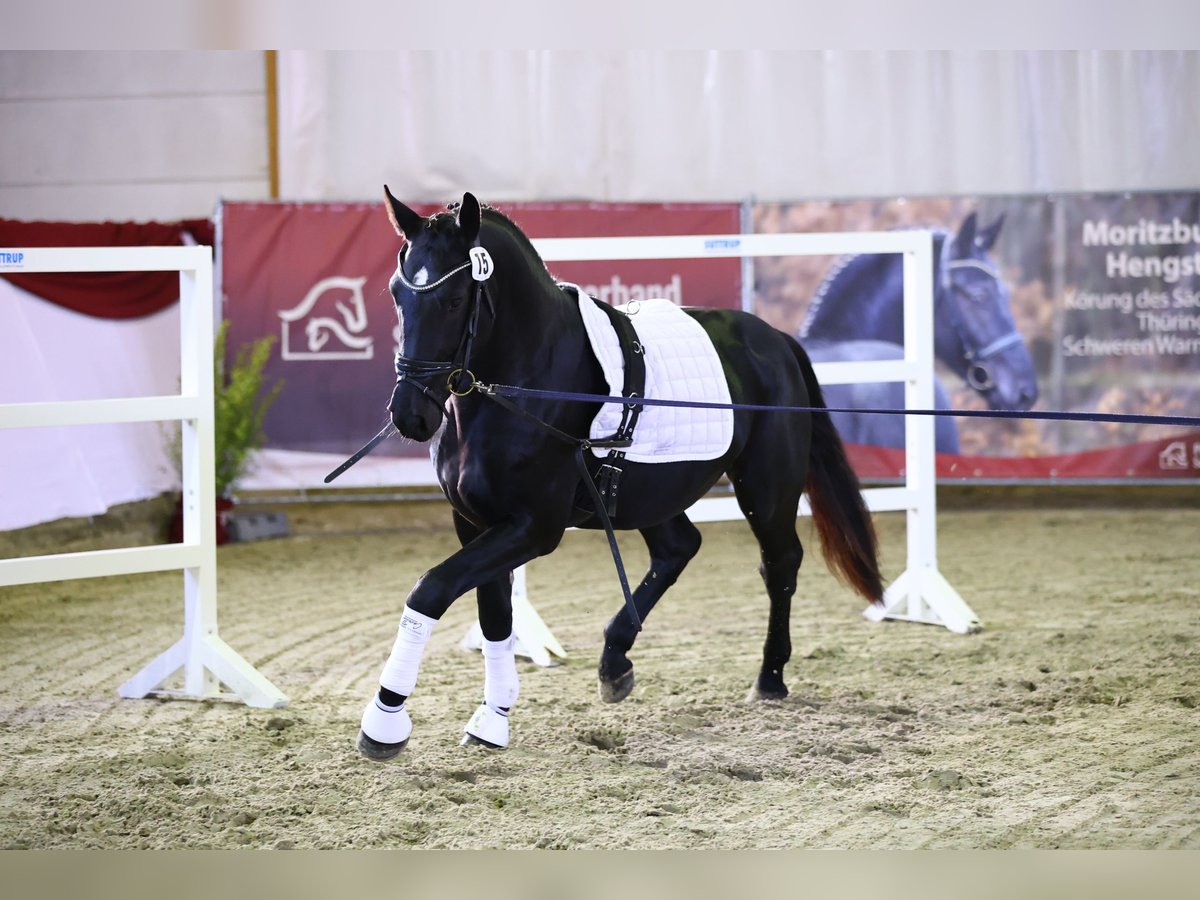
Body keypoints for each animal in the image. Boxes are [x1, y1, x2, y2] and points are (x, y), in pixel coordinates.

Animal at [355, 192, 883, 763]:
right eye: (397, 293)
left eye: (454, 300)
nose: (409, 415)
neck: (524, 384)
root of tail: (778, 339)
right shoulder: (475, 523)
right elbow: (495, 618)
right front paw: (492, 721)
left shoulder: (532, 528)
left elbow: (430, 589)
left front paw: (385, 722)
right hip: (648, 494)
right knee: (679, 548)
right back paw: (614, 662)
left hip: (766, 487)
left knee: (779, 563)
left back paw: (769, 679)